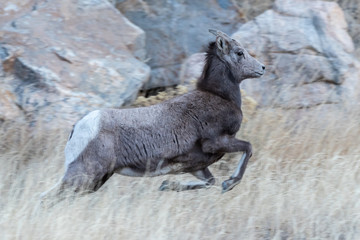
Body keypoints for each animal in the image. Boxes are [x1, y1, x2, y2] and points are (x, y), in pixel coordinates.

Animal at [43, 29, 266, 200]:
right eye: (239, 53)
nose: (262, 68)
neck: (219, 96)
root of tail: (79, 127)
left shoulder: (197, 166)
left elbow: (210, 182)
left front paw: (166, 185)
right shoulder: (217, 142)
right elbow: (248, 148)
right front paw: (230, 183)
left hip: (95, 180)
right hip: (84, 176)